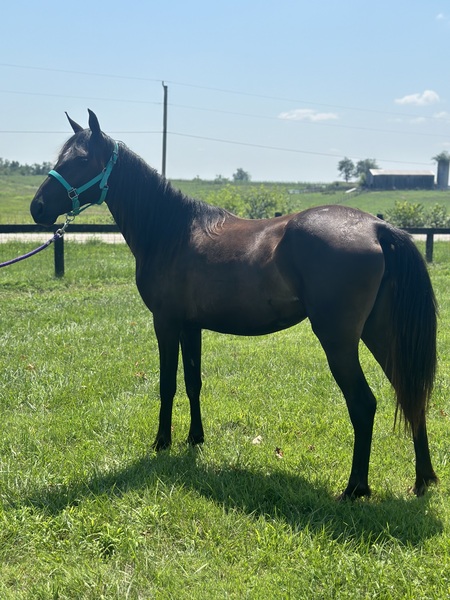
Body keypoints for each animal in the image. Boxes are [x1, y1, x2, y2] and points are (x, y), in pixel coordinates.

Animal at [29, 110, 438, 500]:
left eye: (81, 160)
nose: (37, 208)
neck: (169, 232)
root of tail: (377, 228)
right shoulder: (190, 325)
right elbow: (192, 382)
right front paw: (194, 439)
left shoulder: (166, 322)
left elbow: (167, 384)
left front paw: (161, 443)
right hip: (382, 334)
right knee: (411, 394)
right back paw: (423, 480)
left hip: (339, 341)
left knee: (364, 404)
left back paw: (355, 488)